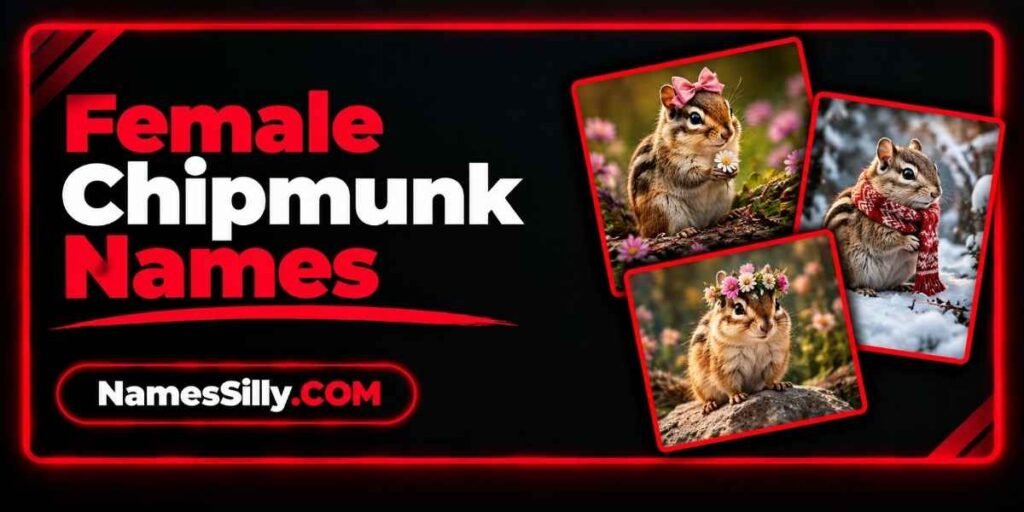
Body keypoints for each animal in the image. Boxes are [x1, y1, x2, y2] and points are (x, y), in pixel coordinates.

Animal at [627, 67, 741, 238]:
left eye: (730, 110)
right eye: (695, 118)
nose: (728, 133)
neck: (707, 153)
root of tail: (641, 229)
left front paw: (734, 170)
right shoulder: (672, 164)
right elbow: (687, 177)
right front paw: (710, 172)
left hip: (725, 197)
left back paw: (728, 215)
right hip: (664, 208)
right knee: (662, 231)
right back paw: (684, 231)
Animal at [688, 265, 792, 415]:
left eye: (777, 304)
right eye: (738, 309)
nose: (767, 326)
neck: (754, 343)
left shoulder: (775, 359)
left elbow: (770, 377)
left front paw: (777, 384)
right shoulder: (726, 366)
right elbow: (729, 384)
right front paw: (737, 396)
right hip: (699, 384)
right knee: (706, 397)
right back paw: (709, 404)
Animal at [823, 137, 943, 296]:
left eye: (935, 168)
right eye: (908, 174)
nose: (937, 193)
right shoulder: (868, 227)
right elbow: (883, 239)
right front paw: (908, 241)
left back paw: (901, 286)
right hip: (854, 267)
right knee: (850, 285)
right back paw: (864, 288)